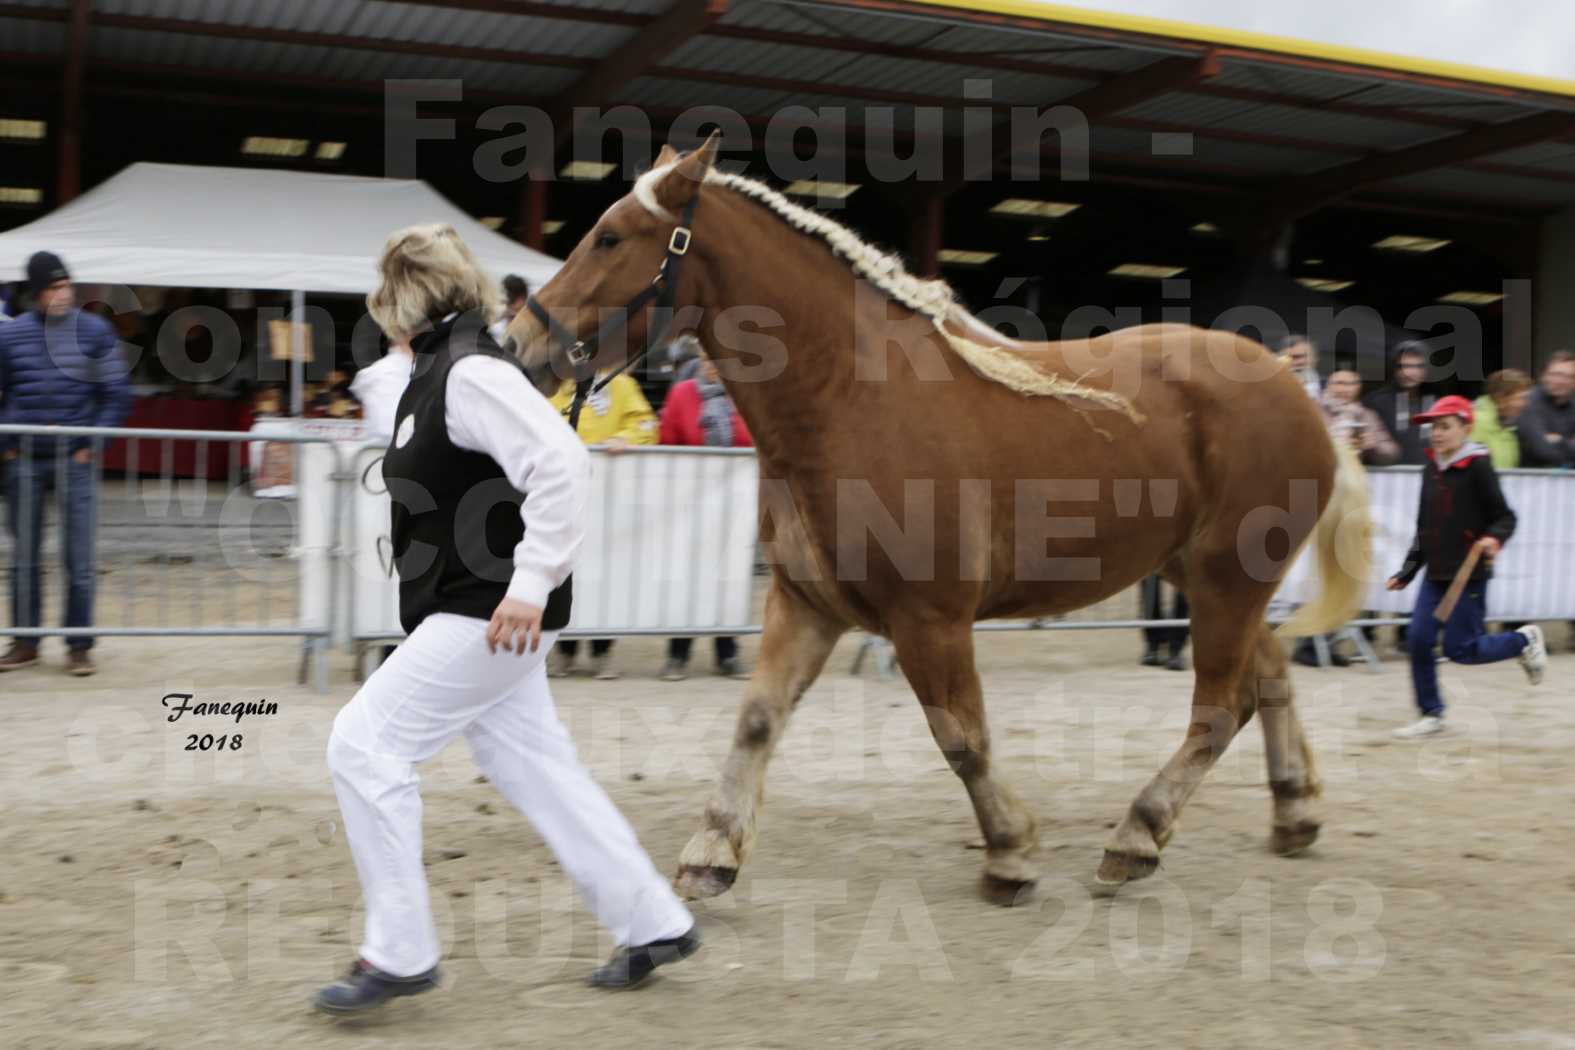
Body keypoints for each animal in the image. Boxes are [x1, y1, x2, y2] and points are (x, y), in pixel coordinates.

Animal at [510, 131, 1373, 906]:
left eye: (609, 237)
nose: (519, 342)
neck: (851, 397)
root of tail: (1298, 393)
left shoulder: (930, 620)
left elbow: (960, 736)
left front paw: (1010, 855)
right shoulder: (805, 604)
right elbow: (757, 720)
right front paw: (711, 853)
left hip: (1228, 581)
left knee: (1221, 709)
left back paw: (1136, 836)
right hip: (1208, 579)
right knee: (1269, 678)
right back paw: (1293, 813)